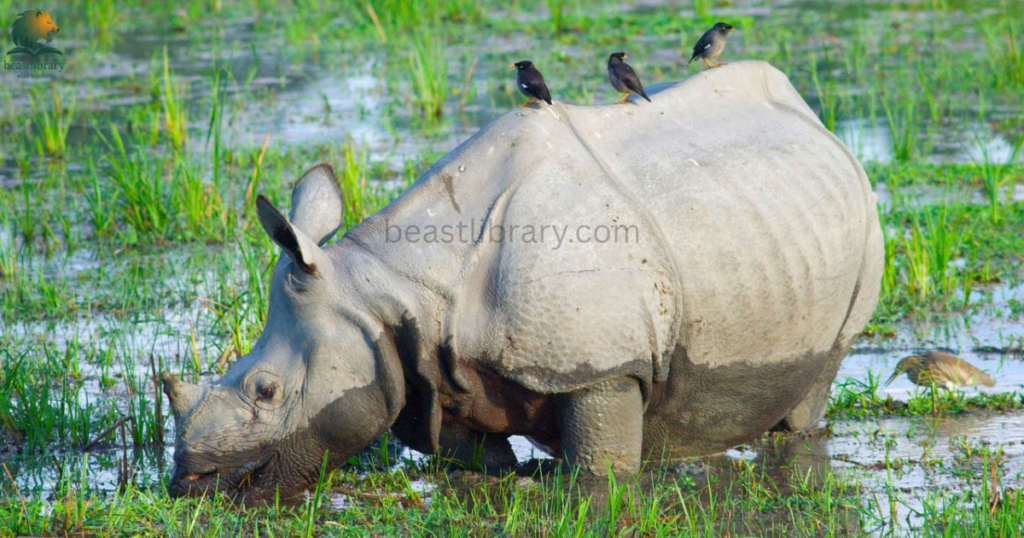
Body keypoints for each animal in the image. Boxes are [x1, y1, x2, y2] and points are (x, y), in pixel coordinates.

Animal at [162, 60, 883, 498]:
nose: (189, 482)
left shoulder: (604, 368)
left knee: (821, 373)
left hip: (856, 220)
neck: (383, 290)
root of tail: (811, 116)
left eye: (265, 390)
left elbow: (598, 474)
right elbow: (473, 461)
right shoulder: (426, 367)